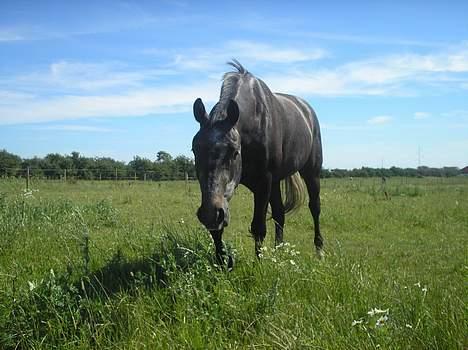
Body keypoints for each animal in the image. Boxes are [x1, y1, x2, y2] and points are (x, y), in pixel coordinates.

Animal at [192, 60, 324, 268]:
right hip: (277, 182)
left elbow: (258, 226)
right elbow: (218, 228)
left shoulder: (263, 182)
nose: (208, 214)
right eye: (194, 150)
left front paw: (260, 265)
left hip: (311, 173)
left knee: (315, 208)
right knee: (279, 213)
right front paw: (221, 261)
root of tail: (307, 110)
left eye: (234, 152)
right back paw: (280, 252)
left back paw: (319, 251)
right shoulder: (226, 196)